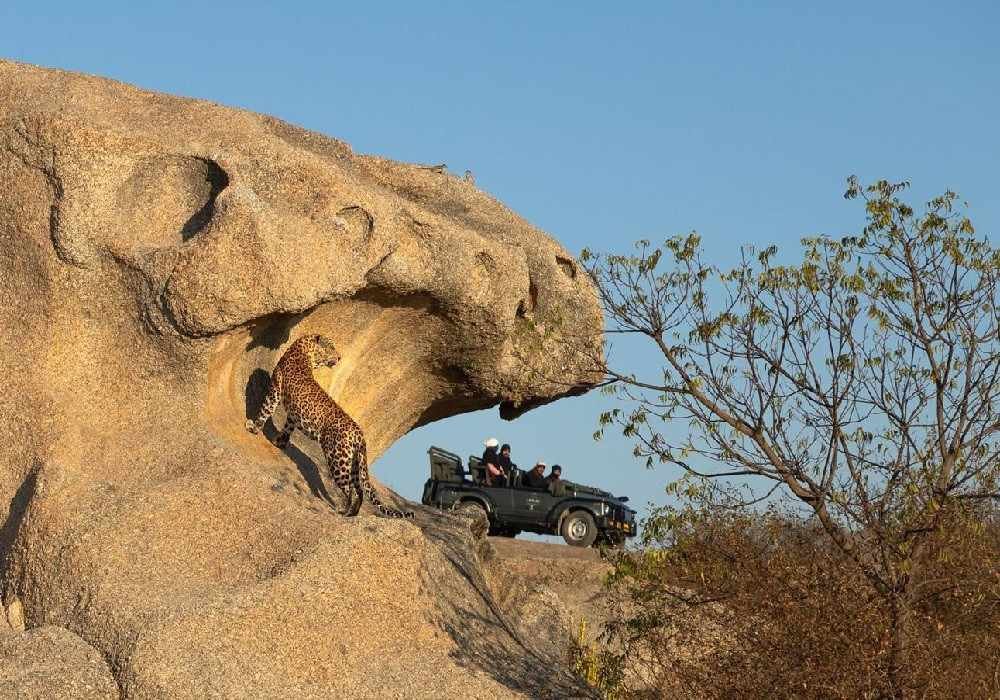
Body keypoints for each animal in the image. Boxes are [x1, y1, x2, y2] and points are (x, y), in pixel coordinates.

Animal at [245, 334, 413, 519]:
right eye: (331, 347)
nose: (339, 358)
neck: (304, 352)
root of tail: (359, 434)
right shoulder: (292, 413)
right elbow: (288, 427)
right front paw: (279, 443)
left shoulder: (275, 391)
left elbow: (265, 411)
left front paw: (253, 427)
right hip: (353, 463)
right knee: (360, 490)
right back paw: (352, 514)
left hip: (338, 460)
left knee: (351, 490)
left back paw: (344, 512)